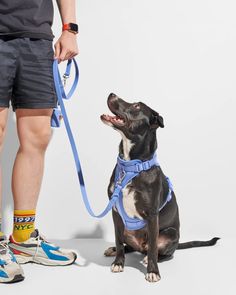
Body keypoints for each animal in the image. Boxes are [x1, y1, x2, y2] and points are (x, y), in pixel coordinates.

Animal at [100, 94, 219, 284]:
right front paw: (118, 262)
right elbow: (118, 241)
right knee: (130, 246)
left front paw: (153, 272)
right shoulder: (116, 213)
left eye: (136, 106)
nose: (111, 94)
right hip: (127, 229)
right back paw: (115, 250)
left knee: (159, 252)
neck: (133, 166)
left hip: (170, 233)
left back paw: (148, 258)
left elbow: (154, 248)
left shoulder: (152, 216)